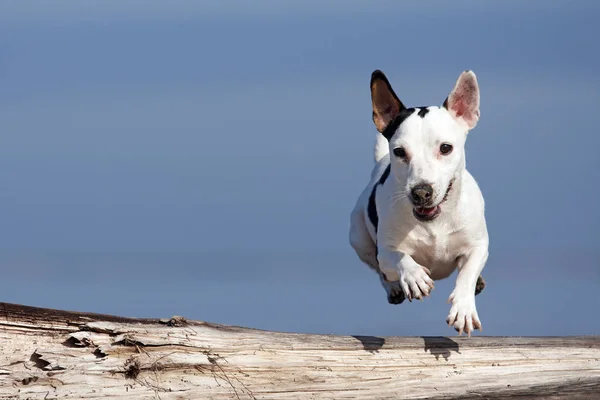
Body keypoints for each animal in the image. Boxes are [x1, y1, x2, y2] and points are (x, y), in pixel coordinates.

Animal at [350, 69, 490, 334]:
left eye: (445, 148)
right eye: (399, 151)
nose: (421, 192)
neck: (434, 221)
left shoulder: (479, 245)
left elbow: (467, 271)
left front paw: (464, 307)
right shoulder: (385, 251)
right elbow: (397, 257)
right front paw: (414, 276)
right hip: (358, 238)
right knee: (380, 271)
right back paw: (394, 287)